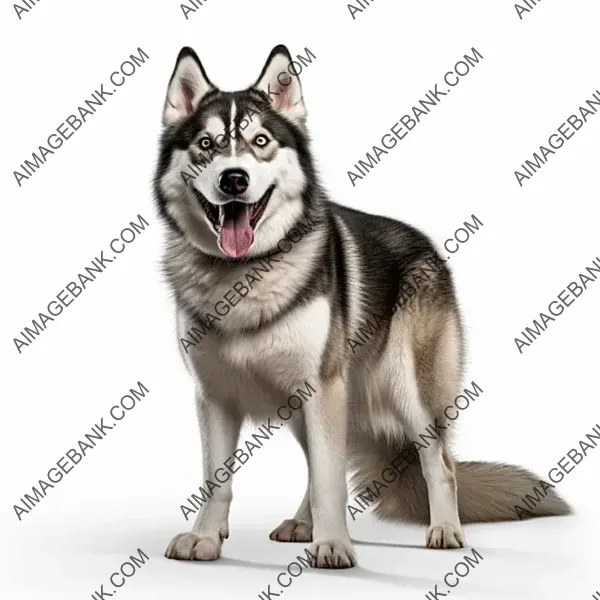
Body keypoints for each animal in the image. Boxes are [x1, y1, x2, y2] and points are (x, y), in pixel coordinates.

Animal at [152, 44, 568, 564]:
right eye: (206, 145)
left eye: (260, 140)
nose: (233, 179)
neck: (243, 276)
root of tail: (427, 245)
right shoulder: (216, 396)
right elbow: (219, 481)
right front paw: (207, 538)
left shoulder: (320, 389)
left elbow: (331, 478)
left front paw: (333, 545)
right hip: (314, 402)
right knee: (320, 463)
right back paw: (303, 524)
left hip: (407, 394)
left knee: (440, 463)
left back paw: (444, 530)